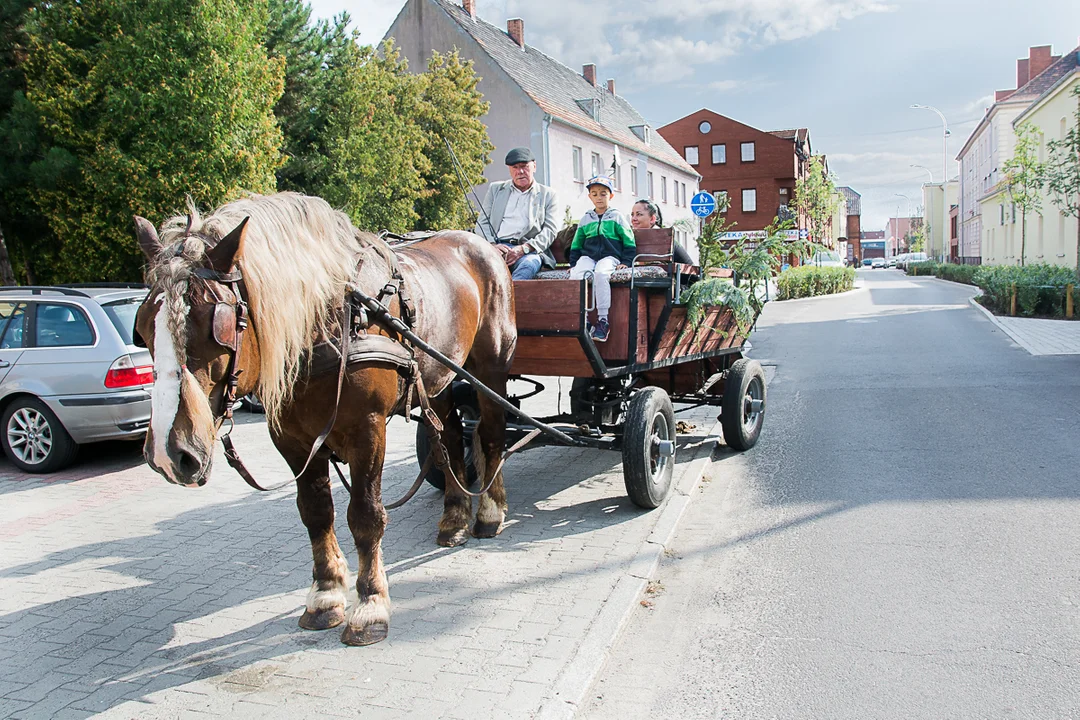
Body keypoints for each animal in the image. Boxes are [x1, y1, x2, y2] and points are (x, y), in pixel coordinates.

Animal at [130, 193, 518, 647]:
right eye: (143, 327)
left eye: (217, 325)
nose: (167, 454)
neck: (326, 322)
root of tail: (483, 246)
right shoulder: (291, 438)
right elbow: (316, 512)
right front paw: (326, 596)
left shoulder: (367, 428)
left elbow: (365, 515)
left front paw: (370, 606)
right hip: (438, 376)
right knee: (451, 437)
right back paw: (454, 519)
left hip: (489, 368)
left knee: (491, 433)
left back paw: (489, 513)